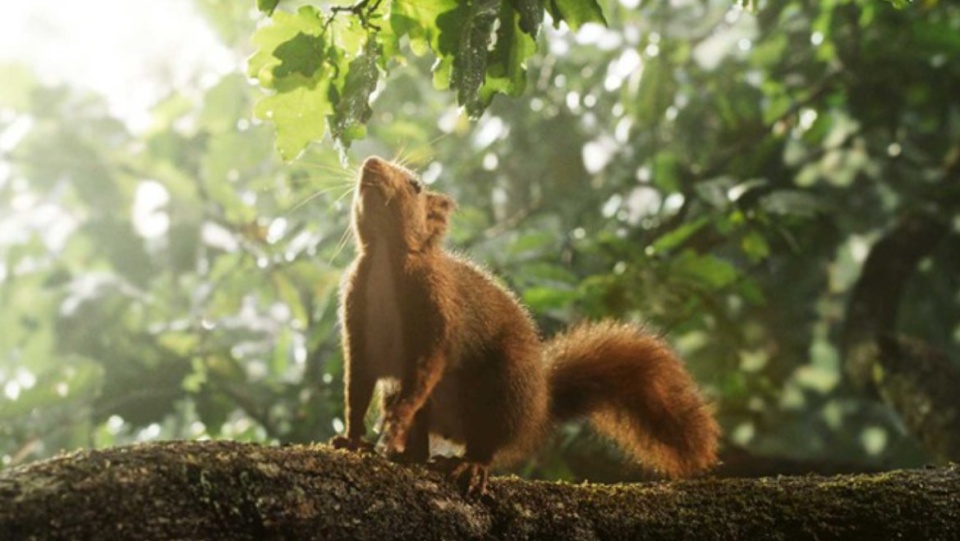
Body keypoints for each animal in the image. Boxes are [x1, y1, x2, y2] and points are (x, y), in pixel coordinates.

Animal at [330, 156, 720, 494]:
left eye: (415, 186)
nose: (370, 162)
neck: (385, 258)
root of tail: (539, 407)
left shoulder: (438, 311)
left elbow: (426, 371)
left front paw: (395, 423)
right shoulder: (357, 320)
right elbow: (357, 386)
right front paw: (352, 439)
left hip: (504, 391)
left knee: (486, 441)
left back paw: (469, 465)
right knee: (423, 441)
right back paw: (410, 455)